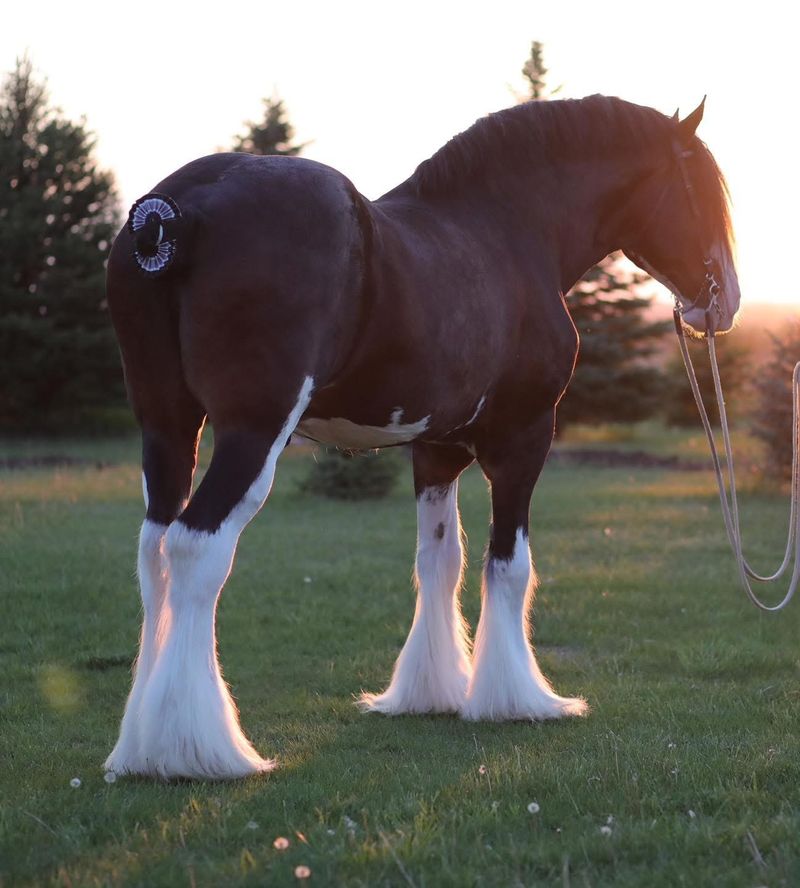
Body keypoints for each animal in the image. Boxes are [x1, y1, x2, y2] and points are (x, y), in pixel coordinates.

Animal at [104, 94, 739, 780]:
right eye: (704, 189)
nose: (726, 302)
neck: (504, 231)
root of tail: (177, 210)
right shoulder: (524, 438)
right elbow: (509, 565)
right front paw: (516, 700)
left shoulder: (436, 450)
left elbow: (439, 561)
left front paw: (430, 692)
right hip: (253, 433)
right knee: (197, 548)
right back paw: (197, 750)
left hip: (168, 426)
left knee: (154, 552)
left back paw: (139, 747)